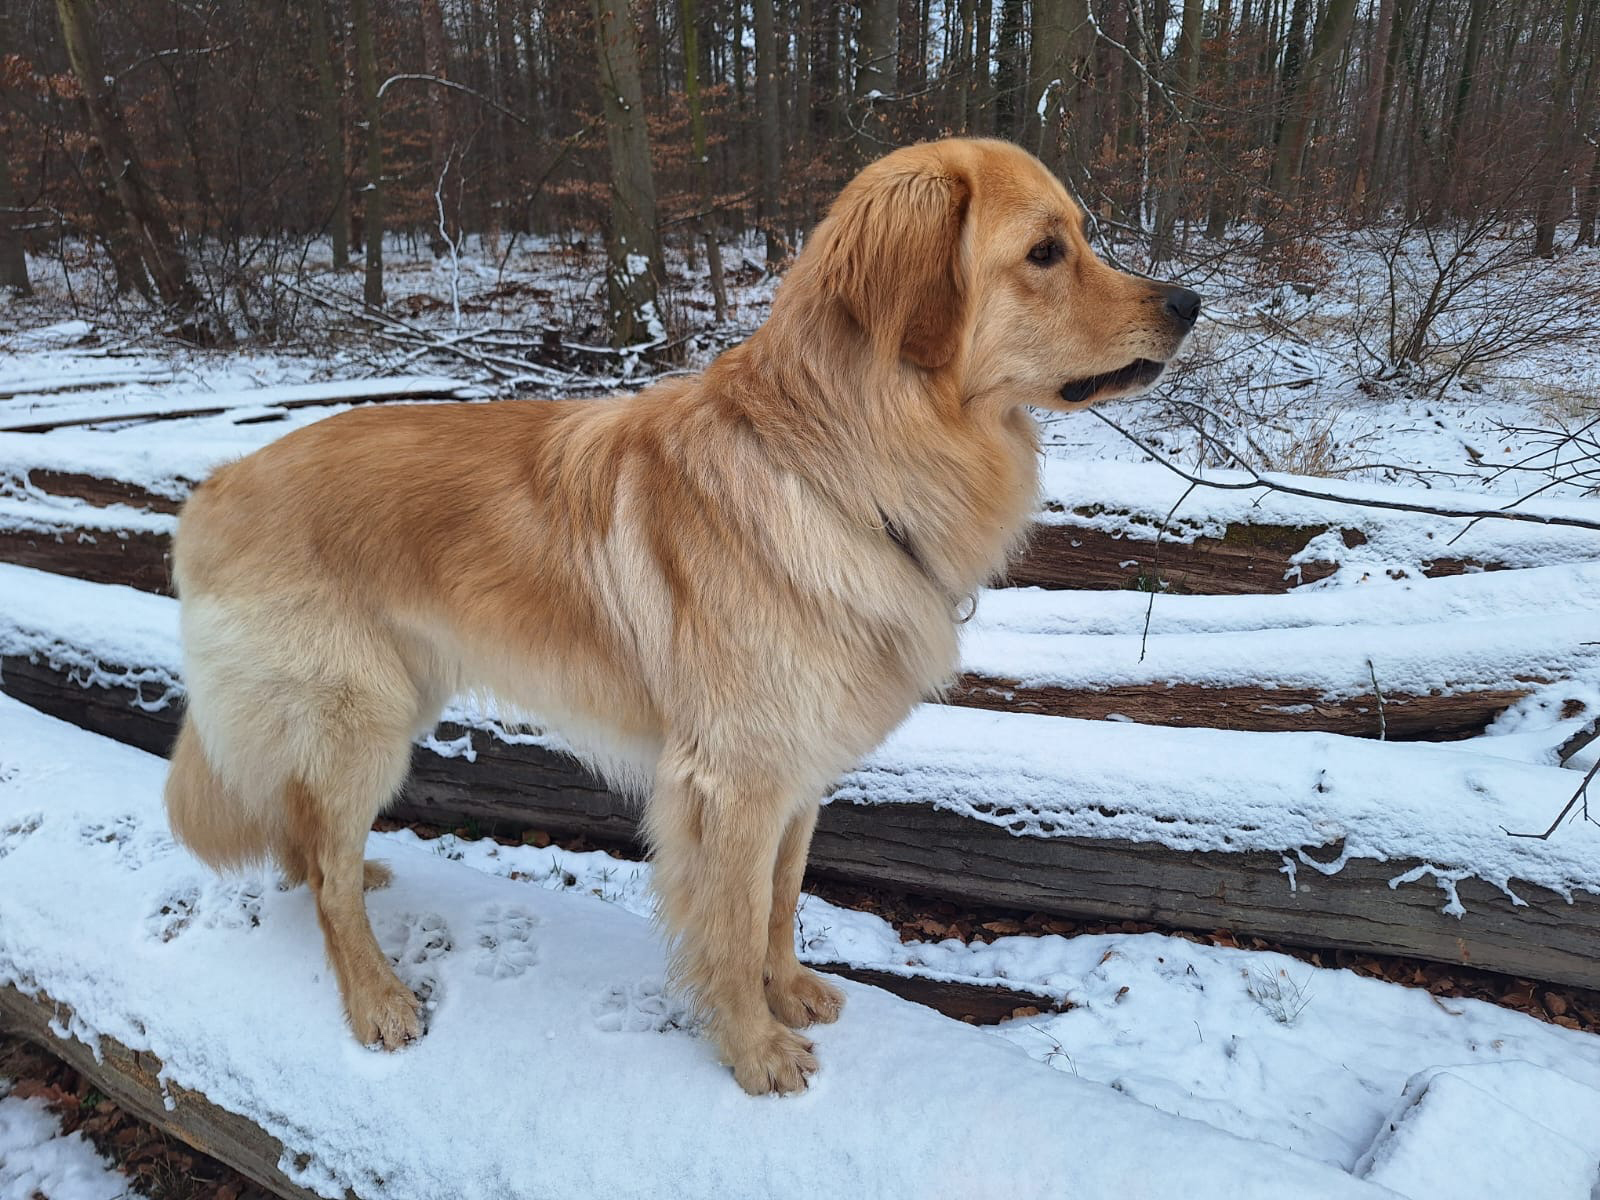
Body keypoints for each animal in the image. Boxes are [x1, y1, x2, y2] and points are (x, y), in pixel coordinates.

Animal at [164, 137, 1199, 1095]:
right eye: (1045, 252)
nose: (1188, 302)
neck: (837, 466)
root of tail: (212, 485)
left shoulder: (796, 772)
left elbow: (780, 902)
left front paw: (790, 993)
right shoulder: (729, 783)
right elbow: (731, 930)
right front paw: (754, 1051)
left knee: (312, 841)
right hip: (359, 720)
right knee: (329, 873)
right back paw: (375, 994)